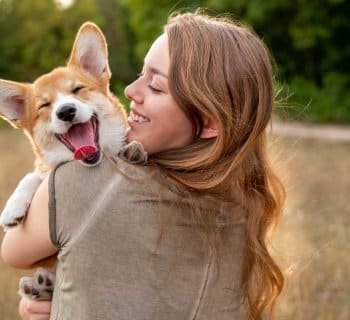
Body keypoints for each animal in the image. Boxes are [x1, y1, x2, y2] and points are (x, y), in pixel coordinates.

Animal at [0, 22, 145, 300]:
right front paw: (12, 208)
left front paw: (135, 149)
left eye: (77, 90)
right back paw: (39, 286)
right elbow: (33, 175)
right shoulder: (44, 169)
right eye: (44, 106)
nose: (66, 111)